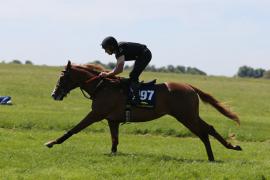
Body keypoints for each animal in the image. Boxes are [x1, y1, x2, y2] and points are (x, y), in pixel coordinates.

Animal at [45, 60, 242, 162]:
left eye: (62, 77)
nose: (54, 94)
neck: (102, 86)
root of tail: (189, 86)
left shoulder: (96, 114)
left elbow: (75, 128)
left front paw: (52, 142)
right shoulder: (112, 120)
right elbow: (115, 140)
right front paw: (113, 154)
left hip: (186, 116)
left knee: (204, 131)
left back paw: (217, 153)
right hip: (189, 115)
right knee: (208, 129)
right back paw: (223, 151)